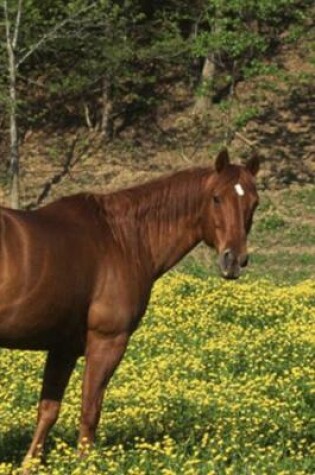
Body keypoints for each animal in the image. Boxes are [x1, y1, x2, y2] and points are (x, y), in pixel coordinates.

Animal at [0, 150, 260, 468]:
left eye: (254, 202)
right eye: (216, 198)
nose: (234, 260)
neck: (122, 238)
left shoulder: (63, 348)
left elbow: (48, 410)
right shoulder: (107, 342)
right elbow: (90, 411)